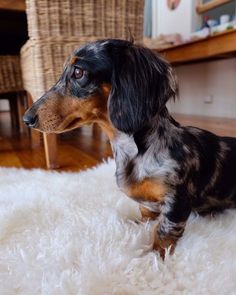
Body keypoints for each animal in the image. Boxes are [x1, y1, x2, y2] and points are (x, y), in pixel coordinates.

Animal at [23, 39, 236, 260]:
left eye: (78, 72)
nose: (26, 119)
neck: (135, 152)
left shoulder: (177, 201)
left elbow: (164, 230)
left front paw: (154, 257)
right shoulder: (149, 205)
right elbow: (146, 214)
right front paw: (135, 226)